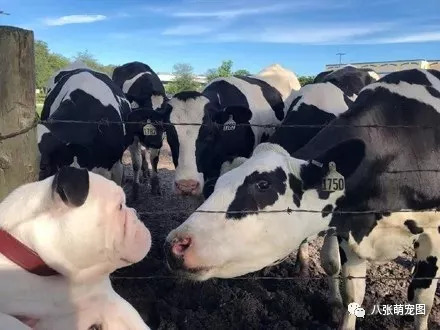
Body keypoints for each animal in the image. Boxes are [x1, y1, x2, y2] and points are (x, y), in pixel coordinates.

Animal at [111, 61, 168, 197]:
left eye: (164, 118)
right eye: (146, 114)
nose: (154, 143)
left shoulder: (161, 137)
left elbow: (154, 160)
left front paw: (155, 185)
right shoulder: (132, 137)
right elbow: (136, 163)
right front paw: (135, 190)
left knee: (143, 151)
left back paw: (146, 171)